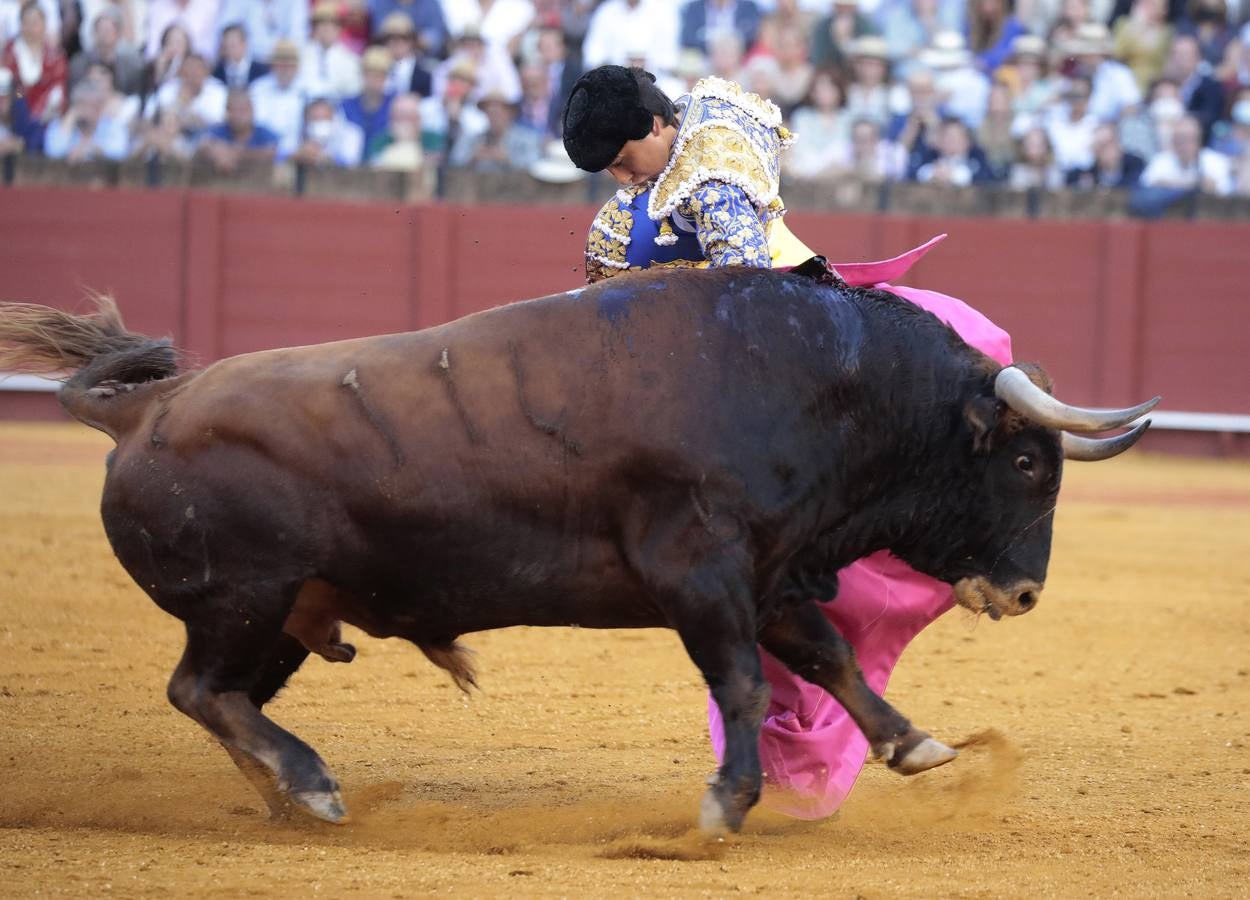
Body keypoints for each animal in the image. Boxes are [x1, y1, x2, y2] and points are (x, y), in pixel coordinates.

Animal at [0, 268, 1155, 835]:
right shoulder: (700, 574)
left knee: (220, 697)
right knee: (199, 689)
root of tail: (144, 408)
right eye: (1025, 465)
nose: (1023, 593)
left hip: (286, 611)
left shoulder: (767, 572)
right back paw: (311, 787)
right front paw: (725, 804)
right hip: (241, 596)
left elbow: (824, 654)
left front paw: (914, 746)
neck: (824, 383)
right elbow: (744, 682)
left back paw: (290, 797)